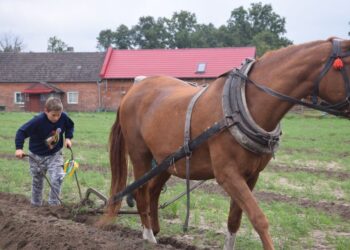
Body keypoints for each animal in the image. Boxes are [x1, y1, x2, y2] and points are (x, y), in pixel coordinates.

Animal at [102, 37, 350, 250]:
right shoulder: (228, 173)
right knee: (141, 191)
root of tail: (132, 91)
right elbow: (259, 218)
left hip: (168, 160)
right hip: (140, 154)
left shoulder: (251, 175)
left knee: (153, 190)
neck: (242, 107)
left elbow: (235, 220)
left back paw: (155, 230)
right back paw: (148, 236)